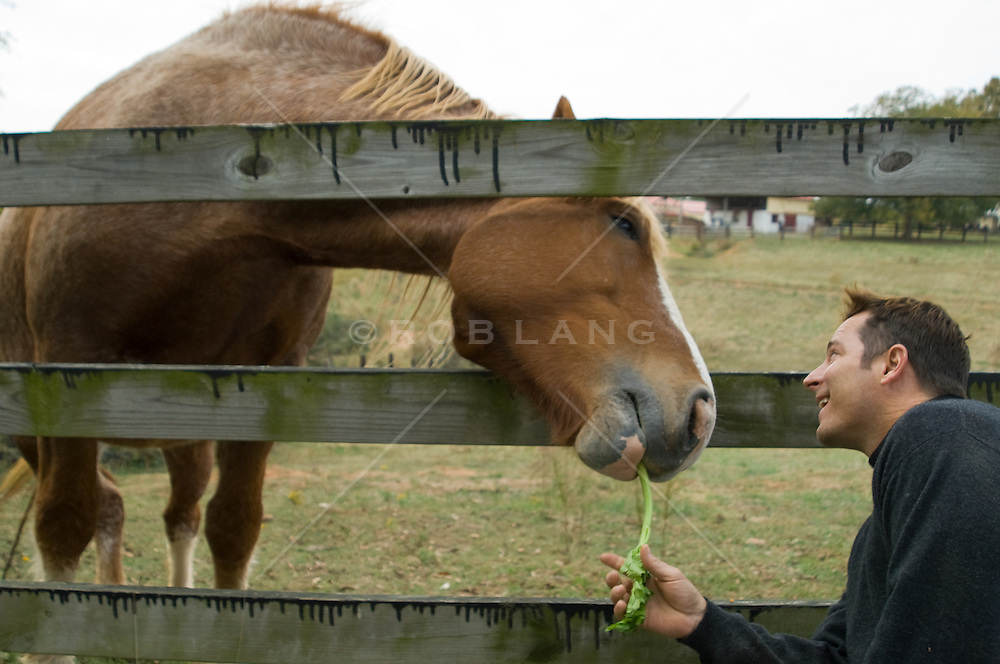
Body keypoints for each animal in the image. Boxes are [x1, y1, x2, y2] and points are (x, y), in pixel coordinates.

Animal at [0, 2, 716, 600]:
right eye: (624, 223)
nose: (700, 415)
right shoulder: (64, 376)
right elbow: (61, 530)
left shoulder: (264, 384)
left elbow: (233, 531)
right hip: (38, 433)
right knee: (104, 508)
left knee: (168, 513)